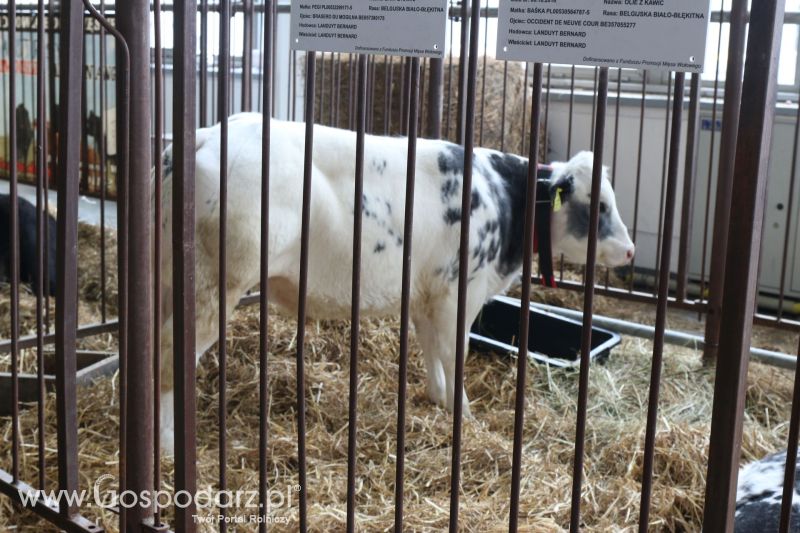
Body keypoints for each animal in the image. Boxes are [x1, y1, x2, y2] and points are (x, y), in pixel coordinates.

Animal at [155, 114, 632, 450]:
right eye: (600, 205)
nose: (629, 251)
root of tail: (208, 133)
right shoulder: (459, 291)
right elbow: (453, 352)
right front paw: (463, 414)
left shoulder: (426, 294)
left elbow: (430, 349)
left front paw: (438, 398)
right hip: (216, 284)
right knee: (171, 355)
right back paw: (168, 445)